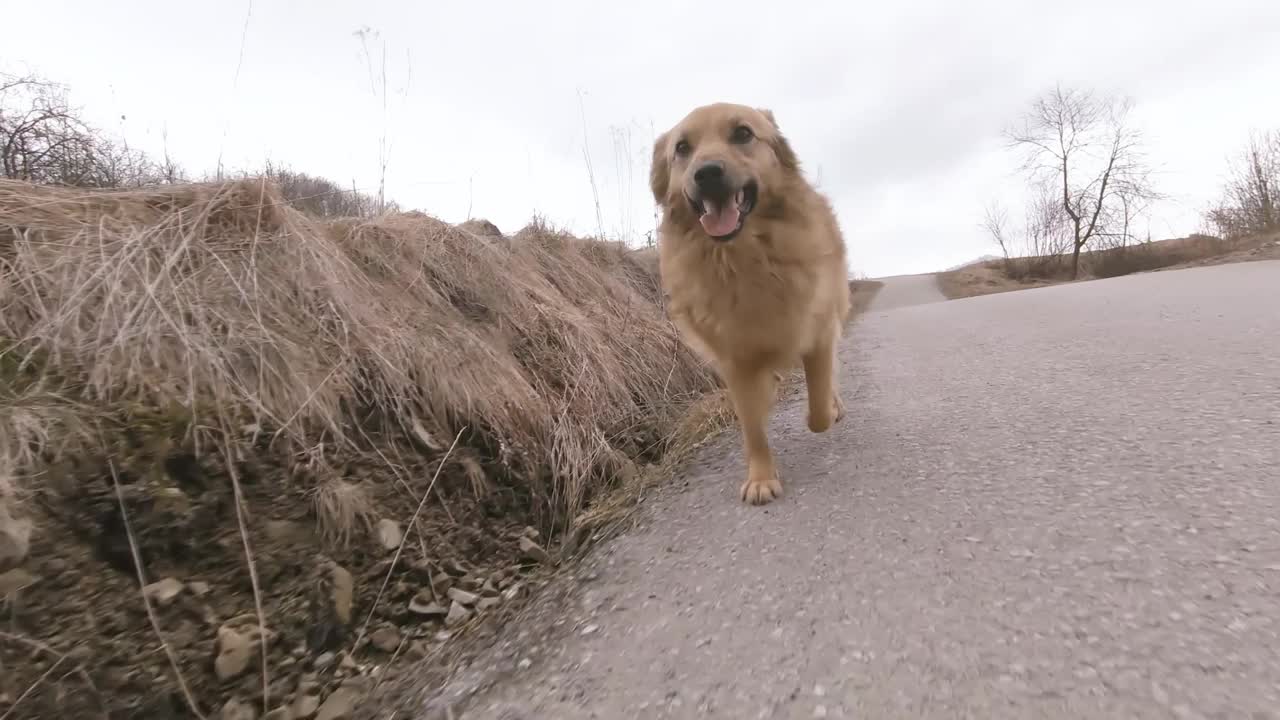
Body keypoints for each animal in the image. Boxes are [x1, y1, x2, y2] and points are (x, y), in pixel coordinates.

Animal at [650, 101, 849, 504]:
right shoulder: (735, 363)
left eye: (742, 134)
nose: (707, 173)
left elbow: (818, 410)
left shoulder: (817, 334)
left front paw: (825, 412)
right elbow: (752, 428)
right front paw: (760, 478)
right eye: (682, 148)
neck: (744, 260)